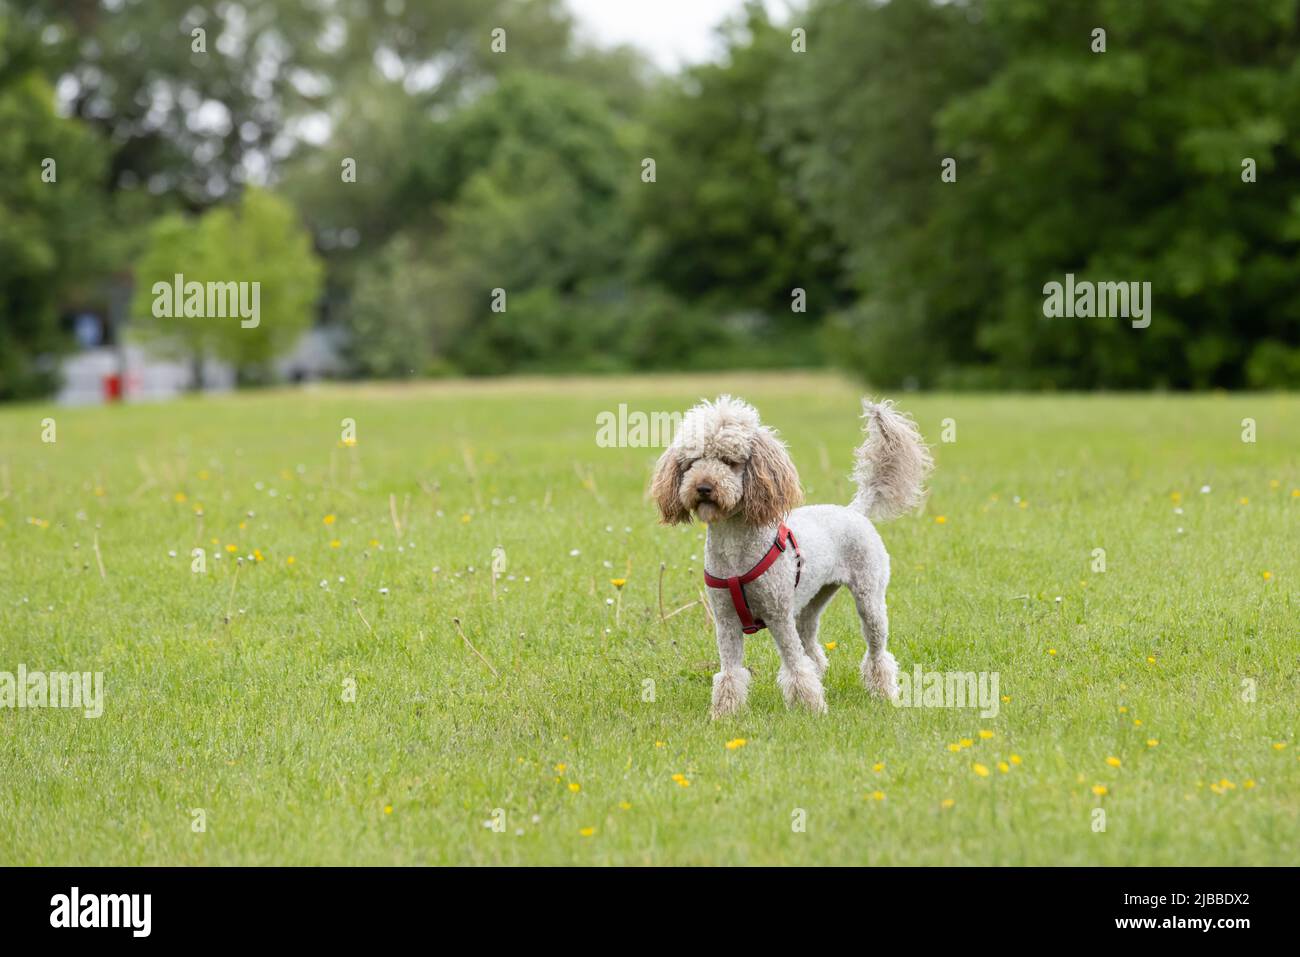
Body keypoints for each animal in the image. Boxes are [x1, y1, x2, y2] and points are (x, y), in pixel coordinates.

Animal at [650, 392, 935, 712]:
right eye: (691, 462)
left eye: (730, 461)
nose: (703, 487)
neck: (735, 552)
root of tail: (854, 510)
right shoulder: (725, 620)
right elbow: (730, 673)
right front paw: (725, 713)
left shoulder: (778, 614)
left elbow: (795, 667)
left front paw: (811, 709)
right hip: (812, 600)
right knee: (811, 643)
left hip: (868, 596)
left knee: (876, 652)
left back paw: (884, 693)